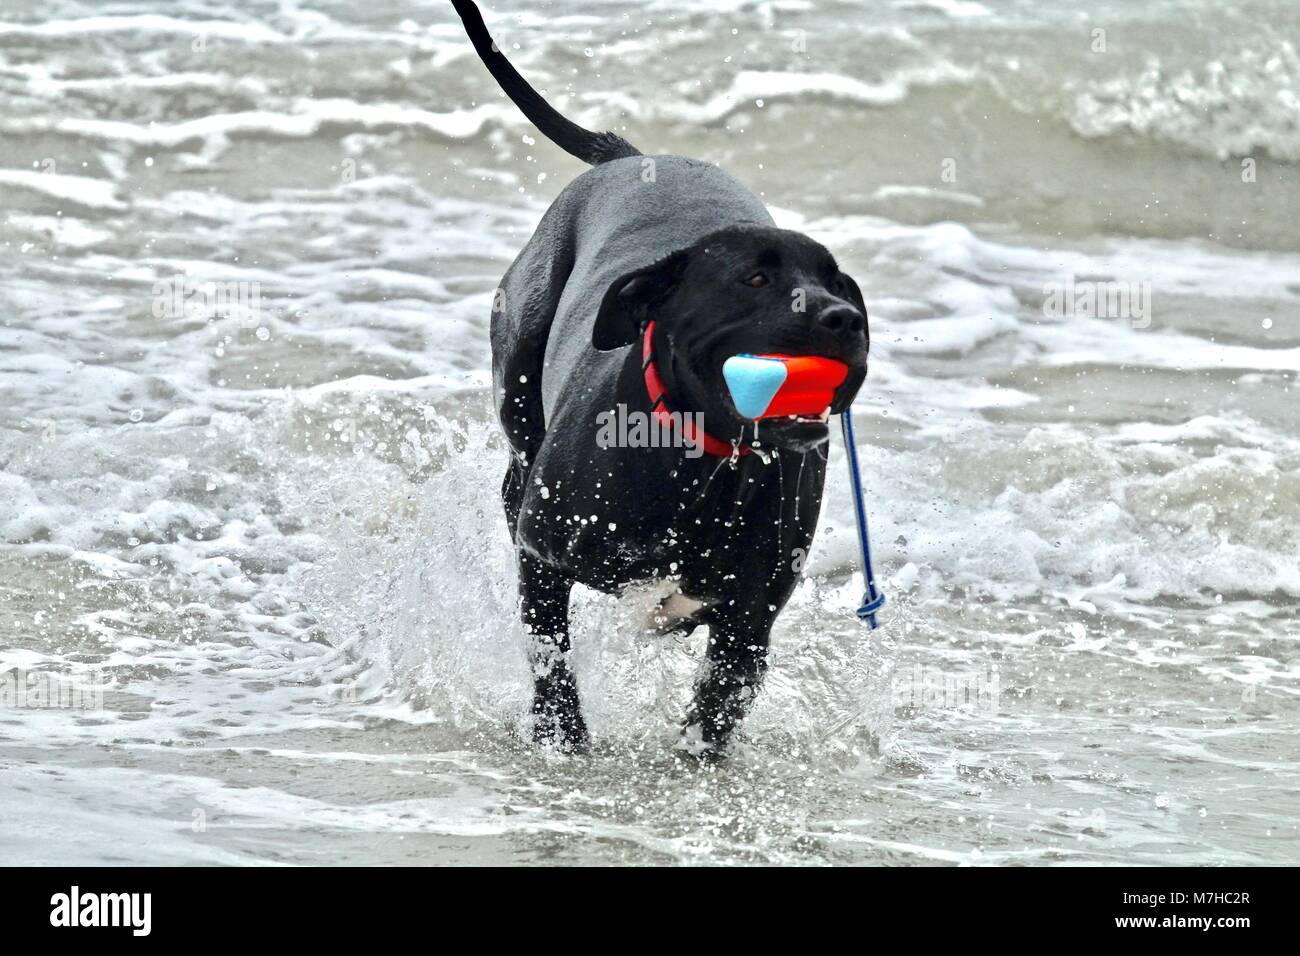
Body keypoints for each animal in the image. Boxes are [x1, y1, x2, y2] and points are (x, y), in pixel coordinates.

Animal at [452, 1, 868, 764]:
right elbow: (551, 655)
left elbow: (714, 711)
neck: (702, 461)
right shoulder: (545, 559)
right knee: (513, 471)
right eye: (755, 278)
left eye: (836, 281)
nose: (844, 318)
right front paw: (561, 738)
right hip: (518, 381)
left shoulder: (748, 622)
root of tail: (629, 159)